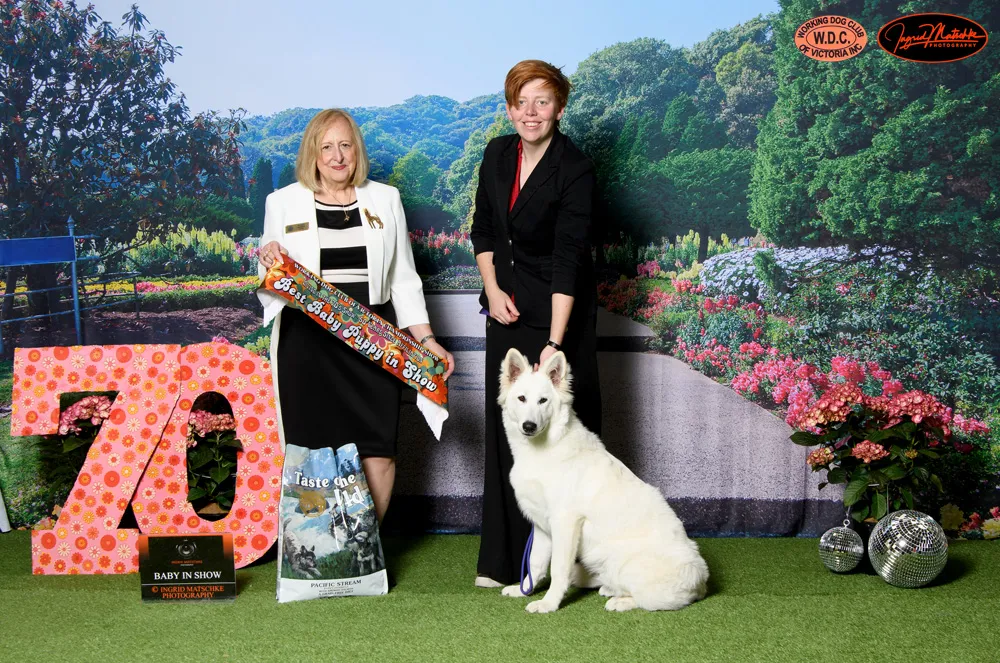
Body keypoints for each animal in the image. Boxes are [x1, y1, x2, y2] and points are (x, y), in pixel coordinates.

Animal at [498, 350, 704, 616]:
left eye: (543, 401)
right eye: (522, 398)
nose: (529, 426)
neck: (544, 449)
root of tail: (702, 582)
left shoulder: (565, 523)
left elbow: (558, 569)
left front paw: (549, 603)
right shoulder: (542, 527)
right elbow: (536, 563)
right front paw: (524, 589)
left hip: (623, 561)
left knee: (648, 599)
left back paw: (619, 601)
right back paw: (607, 588)